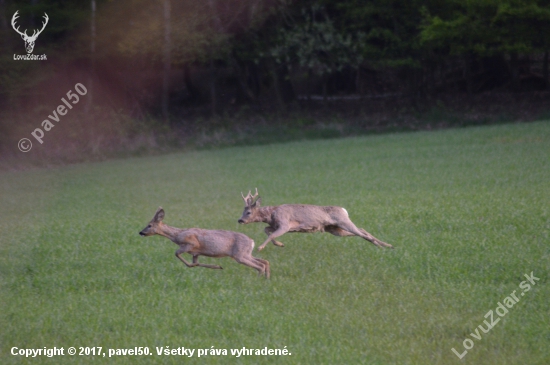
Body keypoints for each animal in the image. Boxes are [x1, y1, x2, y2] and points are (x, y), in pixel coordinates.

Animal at [141, 206, 270, 278]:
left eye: (149, 225)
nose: (140, 232)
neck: (177, 235)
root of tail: (252, 241)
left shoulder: (191, 244)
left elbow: (178, 254)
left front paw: (218, 266)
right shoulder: (196, 253)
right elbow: (195, 263)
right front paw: (218, 266)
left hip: (240, 255)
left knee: (260, 265)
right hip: (245, 253)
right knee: (265, 262)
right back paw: (266, 279)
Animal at [239, 188, 394, 250]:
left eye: (248, 212)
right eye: (243, 211)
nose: (239, 220)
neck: (271, 214)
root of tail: (344, 209)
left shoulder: (285, 224)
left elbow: (271, 235)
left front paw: (261, 247)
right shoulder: (275, 225)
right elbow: (267, 230)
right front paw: (280, 244)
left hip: (343, 221)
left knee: (361, 232)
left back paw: (381, 245)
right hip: (334, 229)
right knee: (361, 230)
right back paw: (387, 245)